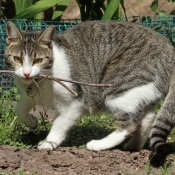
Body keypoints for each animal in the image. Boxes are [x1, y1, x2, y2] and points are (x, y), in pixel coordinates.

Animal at [4, 20, 175, 156]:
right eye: (17, 59)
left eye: (38, 60)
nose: (26, 73)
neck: (39, 83)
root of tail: (169, 47)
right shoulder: (28, 94)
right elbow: (19, 110)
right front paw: (32, 122)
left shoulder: (75, 104)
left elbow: (59, 125)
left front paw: (48, 143)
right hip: (139, 93)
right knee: (147, 117)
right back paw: (133, 146)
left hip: (118, 86)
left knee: (130, 124)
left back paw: (98, 145)